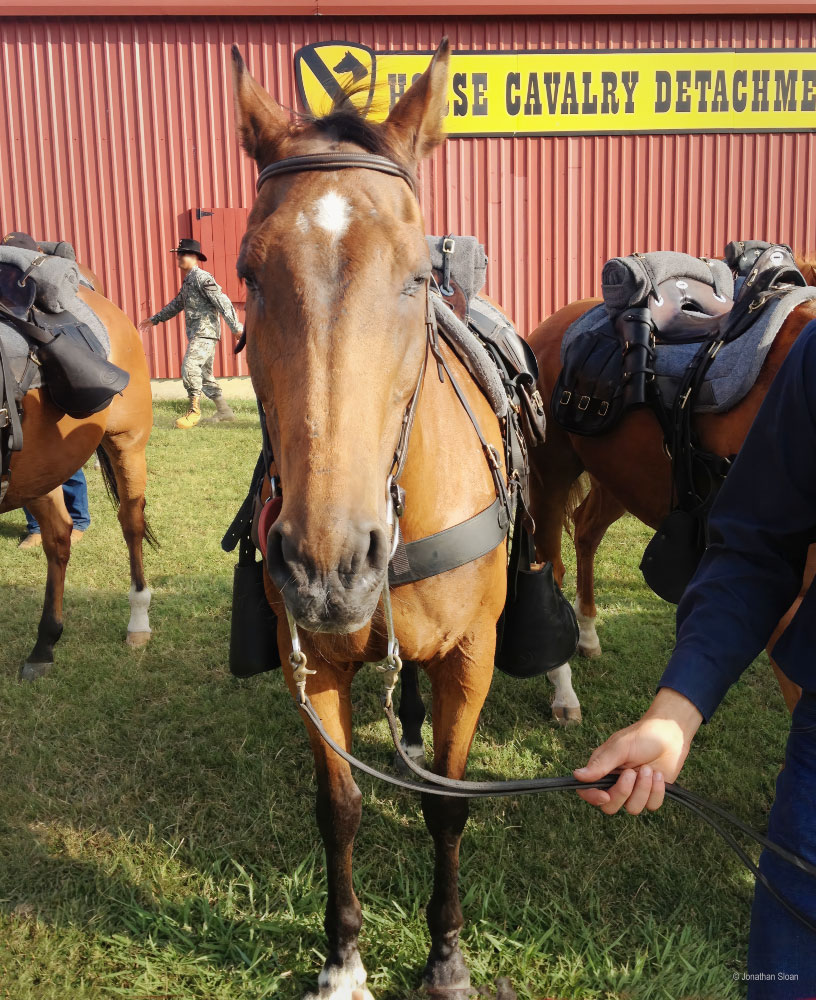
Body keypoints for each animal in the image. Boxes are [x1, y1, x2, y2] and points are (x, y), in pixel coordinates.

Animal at [1, 257, 155, 680]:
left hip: (127, 444)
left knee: (131, 522)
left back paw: (138, 620)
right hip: (39, 472)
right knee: (58, 536)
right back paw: (44, 644)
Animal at [232, 40, 514, 999]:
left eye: (420, 274)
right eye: (247, 273)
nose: (327, 566)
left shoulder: (473, 655)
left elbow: (448, 809)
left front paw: (448, 957)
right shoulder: (310, 661)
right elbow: (340, 807)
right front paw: (344, 958)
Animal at [525, 258, 816, 723]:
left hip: (623, 477)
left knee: (586, 532)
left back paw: (587, 634)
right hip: (551, 473)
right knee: (551, 564)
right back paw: (563, 689)